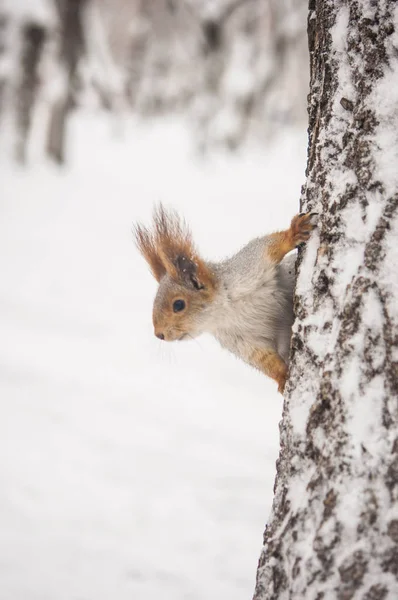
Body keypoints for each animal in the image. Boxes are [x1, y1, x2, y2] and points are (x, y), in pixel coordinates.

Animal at [135, 206, 316, 394]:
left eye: (178, 304)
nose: (159, 334)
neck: (224, 312)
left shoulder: (250, 265)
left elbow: (269, 246)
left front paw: (294, 232)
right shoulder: (239, 340)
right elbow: (263, 360)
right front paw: (282, 378)